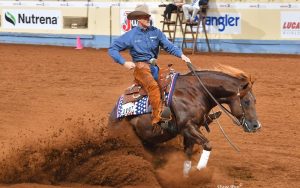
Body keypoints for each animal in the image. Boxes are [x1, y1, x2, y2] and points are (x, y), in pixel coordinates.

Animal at [108, 65, 260, 176]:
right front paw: (198, 172)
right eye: (246, 101)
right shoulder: (187, 127)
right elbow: (208, 145)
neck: (196, 91)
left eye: (254, 101)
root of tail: (113, 113)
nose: (256, 126)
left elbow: (187, 155)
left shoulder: (191, 131)